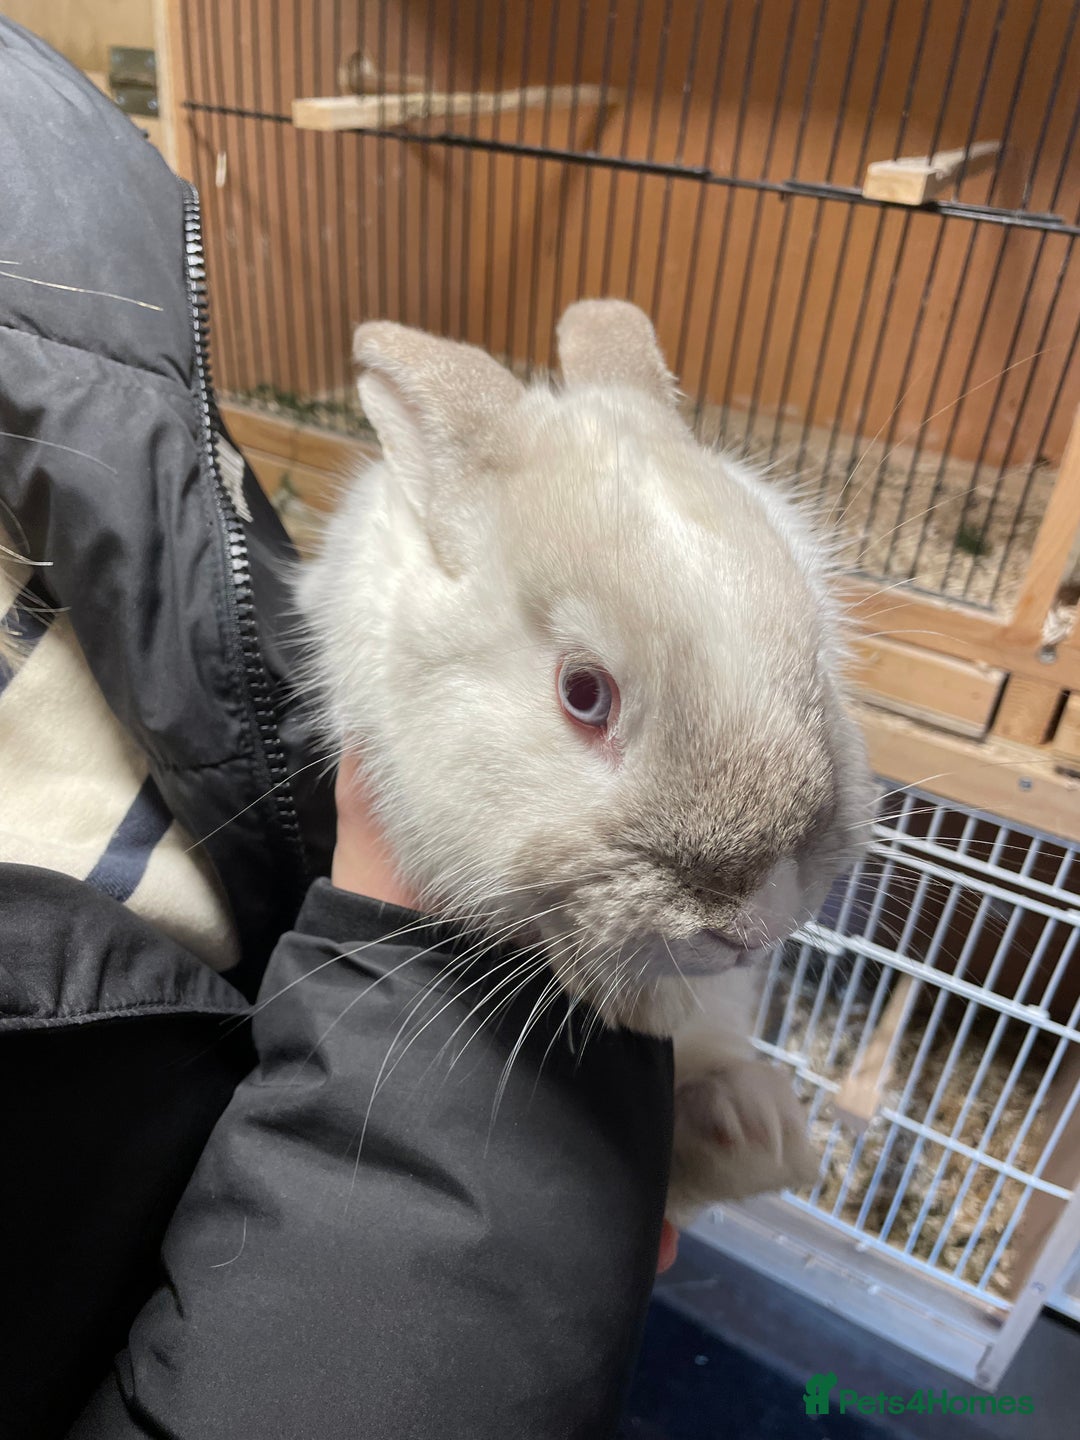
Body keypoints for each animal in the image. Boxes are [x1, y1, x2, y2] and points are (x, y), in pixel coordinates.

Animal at [296, 299, 874, 1224]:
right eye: (583, 692)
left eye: (814, 662)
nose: (747, 930)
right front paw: (640, 1008)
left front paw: (753, 1119)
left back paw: (756, 1128)